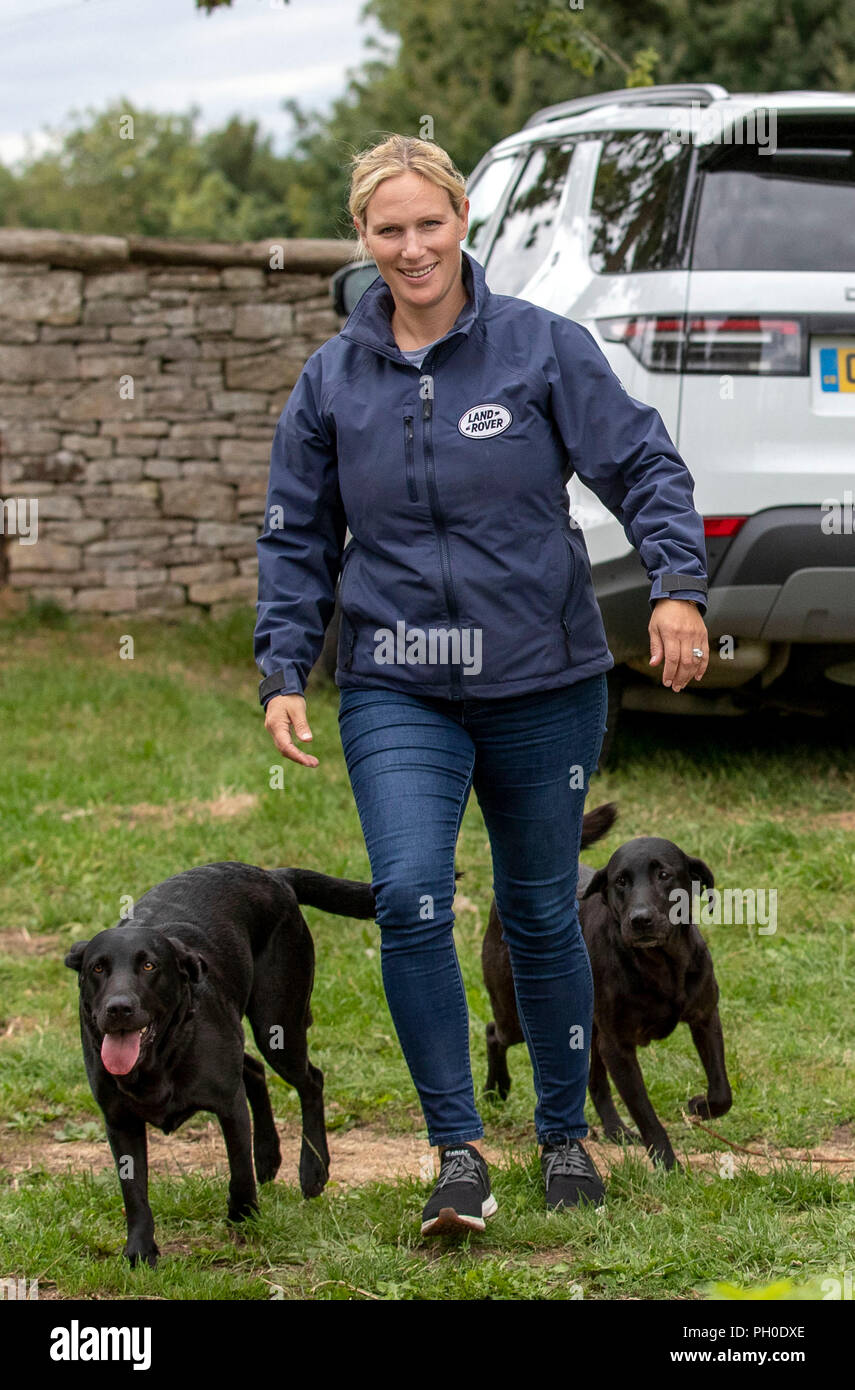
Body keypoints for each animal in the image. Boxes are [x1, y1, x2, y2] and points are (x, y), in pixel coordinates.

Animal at [66, 856, 375, 1262]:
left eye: (149, 966)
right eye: (97, 968)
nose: (118, 1008)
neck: (157, 1062)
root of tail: (273, 876)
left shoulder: (229, 1104)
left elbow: (239, 1168)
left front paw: (243, 1216)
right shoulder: (119, 1121)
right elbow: (134, 1193)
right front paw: (140, 1251)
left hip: (278, 1026)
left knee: (311, 1080)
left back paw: (312, 1170)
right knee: (255, 1070)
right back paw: (269, 1156)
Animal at [483, 828, 734, 1167]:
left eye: (664, 875)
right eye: (620, 881)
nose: (640, 919)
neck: (662, 964)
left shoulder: (705, 1017)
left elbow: (722, 1093)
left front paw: (701, 1106)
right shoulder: (618, 1046)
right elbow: (647, 1117)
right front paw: (669, 1166)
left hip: (585, 1030)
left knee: (594, 1080)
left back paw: (616, 1130)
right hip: (517, 1018)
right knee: (493, 1033)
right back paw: (494, 1090)